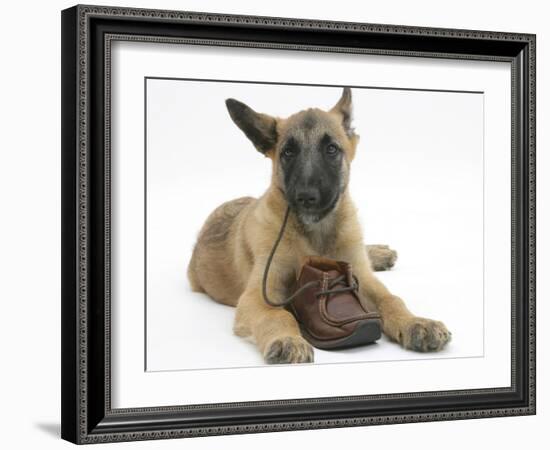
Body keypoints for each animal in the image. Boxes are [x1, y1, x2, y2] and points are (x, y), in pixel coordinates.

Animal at [188, 89, 450, 366]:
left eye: (331, 149)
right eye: (288, 152)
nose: (306, 196)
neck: (316, 234)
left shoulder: (361, 276)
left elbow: (391, 299)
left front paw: (415, 322)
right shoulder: (258, 296)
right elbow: (278, 315)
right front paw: (287, 340)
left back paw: (379, 253)